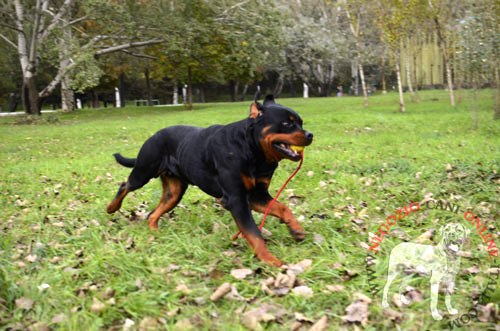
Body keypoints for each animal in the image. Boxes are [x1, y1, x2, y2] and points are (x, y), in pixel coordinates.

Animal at [107, 96, 312, 268]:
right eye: (286, 123)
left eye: (300, 122)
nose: (310, 134)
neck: (252, 150)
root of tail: (154, 135)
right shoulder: (236, 199)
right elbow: (254, 233)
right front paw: (270, 260)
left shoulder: (256, 195)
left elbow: (282, 207)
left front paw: (296, 230)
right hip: (144, 171)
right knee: (125, 185)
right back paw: (111, 207)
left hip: (174, 192)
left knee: (152, 213)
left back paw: (155, 232)